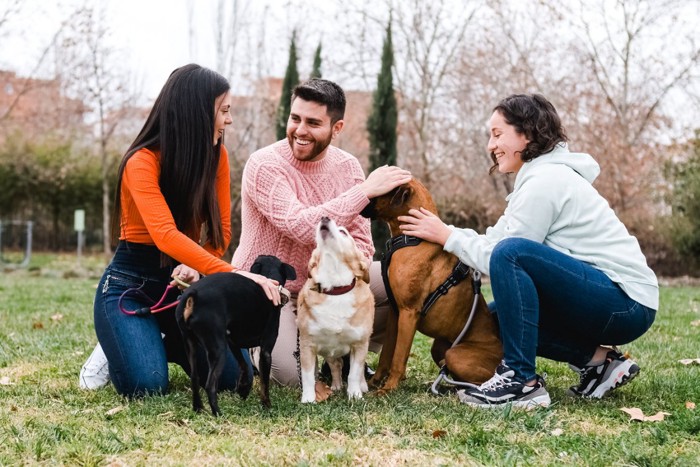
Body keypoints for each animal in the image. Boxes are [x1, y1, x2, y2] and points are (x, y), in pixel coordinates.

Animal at [176, 256, 296, 416]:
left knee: (195, 378)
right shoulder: (265, 351)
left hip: (190, 344)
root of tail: (193, 295)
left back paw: (198, 409)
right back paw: (218, 413)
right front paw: (267, 406)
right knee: (210, 385)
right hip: (218, 349)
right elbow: (264, 383)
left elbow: (244, 365)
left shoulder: (233, 342)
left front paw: (243, 389)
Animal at [296, 216, 374, 402]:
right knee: (336, 365)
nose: (324, 217)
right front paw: (308, 399)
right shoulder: (307, 345)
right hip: (328, 352)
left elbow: (354, 373)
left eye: (343, 232)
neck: (335, 288)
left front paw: (355, 395)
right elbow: (308, 376)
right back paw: (337, 385)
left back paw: (362, 386)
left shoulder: (359, 345)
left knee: (357, 370)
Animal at [360, 179, 504, 394]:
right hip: (439, 347)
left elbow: (398, 356)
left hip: (454, 355)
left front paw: (389, 388)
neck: (414, 239)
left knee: (476, 381)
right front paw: (374, 383)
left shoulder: (408, 313)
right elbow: (386, 354)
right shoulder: (396, 312)